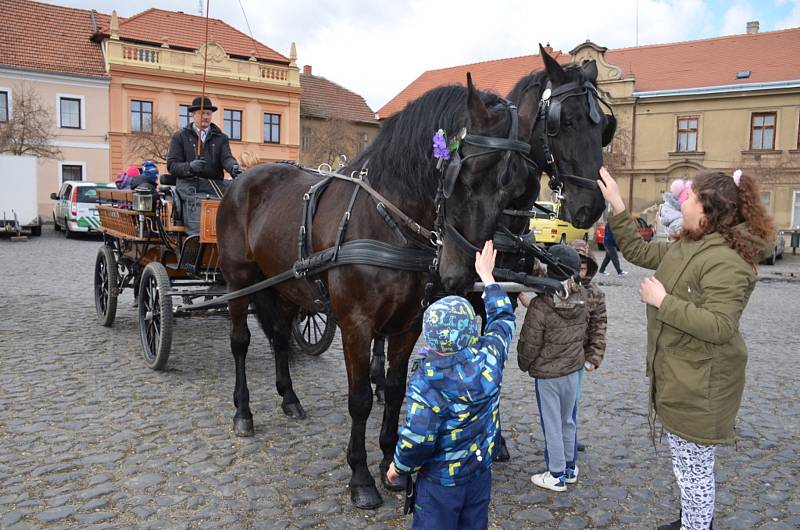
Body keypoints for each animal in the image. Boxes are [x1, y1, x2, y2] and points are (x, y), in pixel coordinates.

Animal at [219, 74, 548, 508]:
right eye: (464, 176)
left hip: (288, 286)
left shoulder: (408, 324)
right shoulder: (356, 327)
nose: (461, 271)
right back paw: (243, 413)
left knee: (278, 337)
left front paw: (391, 462)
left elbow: (394, 391)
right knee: (240, 342)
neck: (387, 222)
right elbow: (360, 399)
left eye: (516, 189)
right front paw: (360, 476)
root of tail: (244, 179)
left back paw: (289, 399)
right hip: (239, 281)